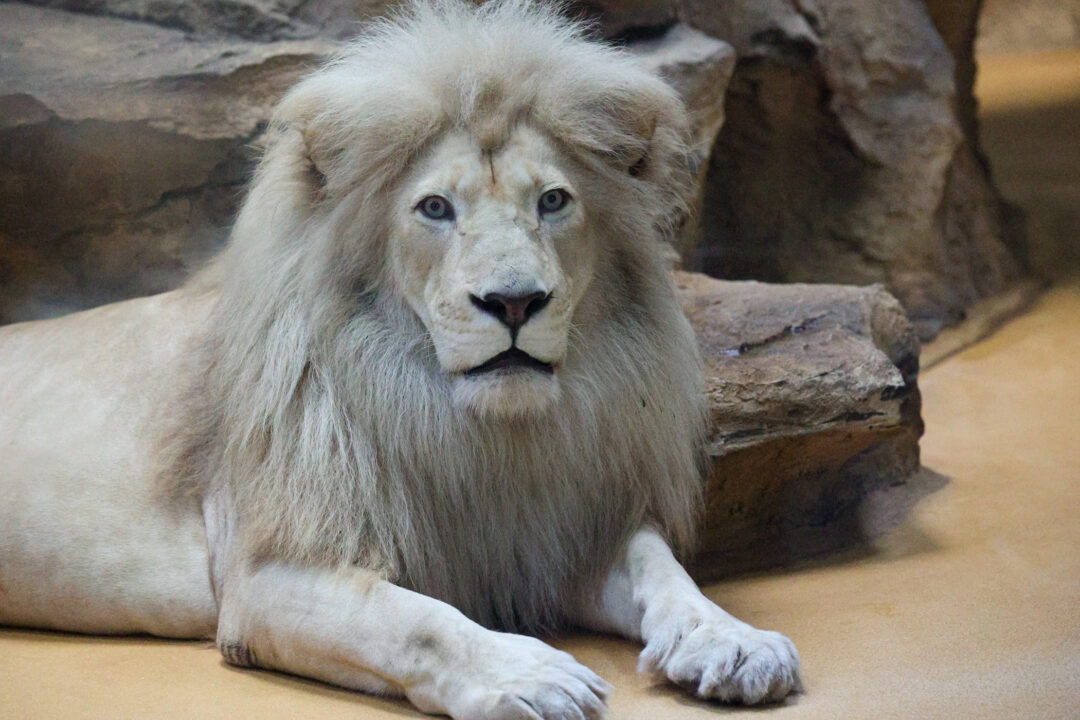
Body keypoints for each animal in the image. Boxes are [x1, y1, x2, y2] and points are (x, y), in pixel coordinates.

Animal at [0, 1, 801, 716]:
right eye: (436, 208)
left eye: (552, 201)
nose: (515, 302)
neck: (481, 435)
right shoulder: (264, 574)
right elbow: (416, 620)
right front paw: (527, 675)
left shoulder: (561, 530)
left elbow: (660, 568)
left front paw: (734, 642)